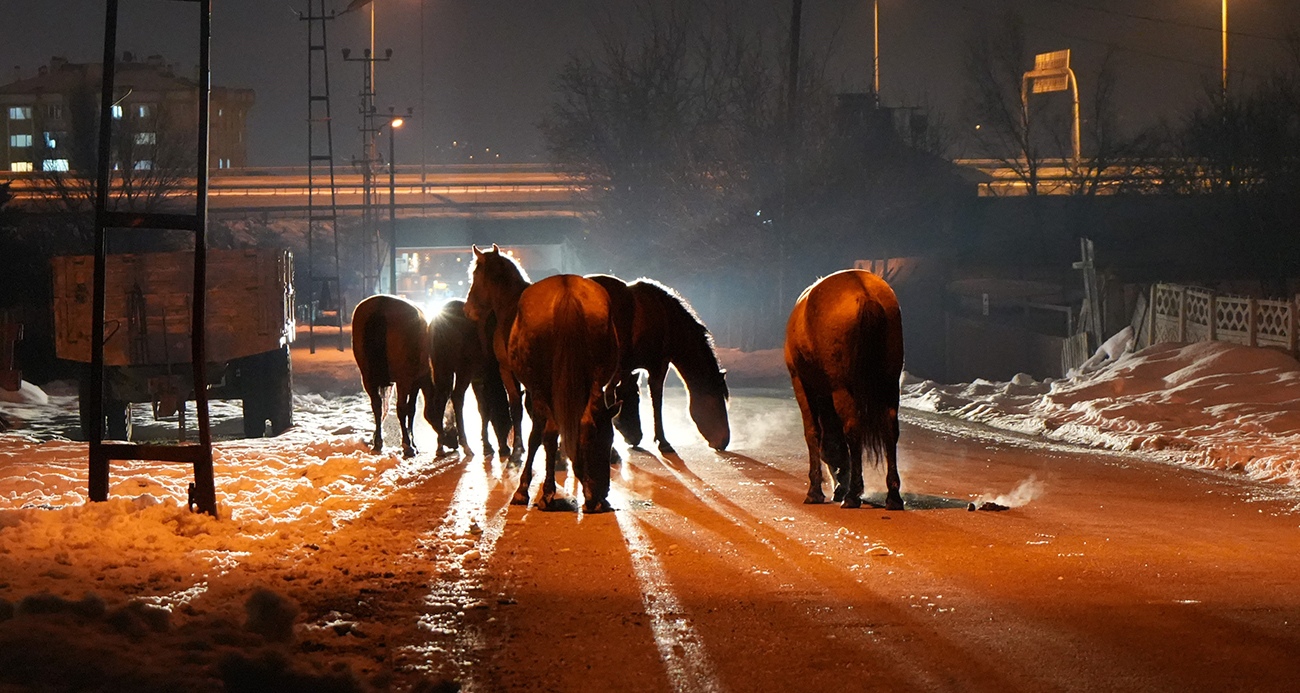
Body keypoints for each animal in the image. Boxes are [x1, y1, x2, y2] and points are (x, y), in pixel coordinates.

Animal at [351, 292, 431, 460]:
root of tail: (381, 307)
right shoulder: (415, 381)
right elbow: (411, 409)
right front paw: (412, 442)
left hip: (367, 377)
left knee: (377, 406)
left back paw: (378, 443)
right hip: (403, 379)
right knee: (401, 408)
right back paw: (407, 446)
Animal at [423, 296, 509, 455]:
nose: (505, 449)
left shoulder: (479, 378)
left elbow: (483, 409)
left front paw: (486, 442)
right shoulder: (485, 376)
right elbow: (487, 408)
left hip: (442, 368)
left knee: (437, 403)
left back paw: (442, 442)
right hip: (463, 370)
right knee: (456, 397)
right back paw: (464, 443)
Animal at [504, 273, 621, 509]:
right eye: (607, 439)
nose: (603, 490)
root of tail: (567, 291)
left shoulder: (535, 393)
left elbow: (537, 436)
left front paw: (524, 489)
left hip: (540, 385)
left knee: (550, 431)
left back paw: (547, 492)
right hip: (596, 377)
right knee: (585, 424)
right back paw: (588, 495)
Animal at [590, 275, 733, 455]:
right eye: (716, 401)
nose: (724, 442)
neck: (666, 318)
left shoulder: (627, 368)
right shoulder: (657, 366)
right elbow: (656, 400)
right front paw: (662, 441)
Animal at [780, 269, 904, 507]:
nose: (838, 484)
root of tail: (864, 292)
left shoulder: (800, 383)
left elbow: (813, 433)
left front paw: (814, 491)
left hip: (842, 388)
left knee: (853, 428)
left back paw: (852, 494)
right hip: (890, 384)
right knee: (890, 429)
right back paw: (892, 496)